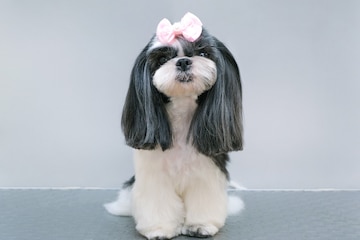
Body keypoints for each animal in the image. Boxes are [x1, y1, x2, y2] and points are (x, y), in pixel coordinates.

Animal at [105, 12, 245, 239]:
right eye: (162, 59)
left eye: (203, 52)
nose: (183, 62)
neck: (182, 114)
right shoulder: (154, 176)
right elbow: (157, 204)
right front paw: (159, 229)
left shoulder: (206, 172)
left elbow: (204, 200)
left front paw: (201, 225)